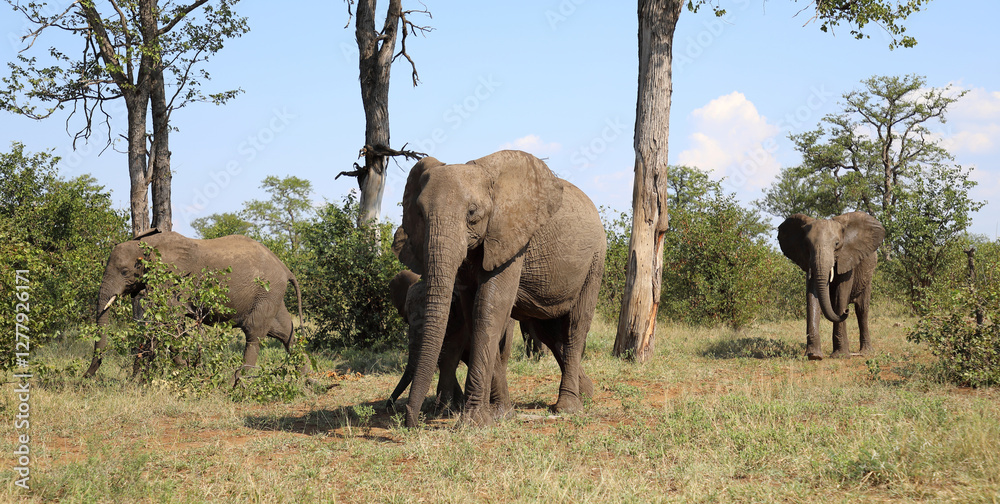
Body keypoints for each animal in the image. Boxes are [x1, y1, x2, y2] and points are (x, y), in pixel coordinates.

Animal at [83, 228, 303, 382]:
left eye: (124, 272)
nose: (85, 377)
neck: (148, 244)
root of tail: (285, 268)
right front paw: (139, 378)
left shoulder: (176, 281)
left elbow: (171, 321)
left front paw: (187, 371)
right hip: (271, 294)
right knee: (285, 332)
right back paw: (306, 380)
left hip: (266, 292)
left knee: (254, 334)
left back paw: (230, 384)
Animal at [396, 150, 606, 427]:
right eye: (419, 213)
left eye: (472, 212)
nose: (411, 421)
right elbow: (474, 312)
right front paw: (501, 414)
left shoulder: (512, 238)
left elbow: (490, 309)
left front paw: (474, 421)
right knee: (548, 332)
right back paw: (588, 392)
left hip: (595, 261)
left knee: (575, 327)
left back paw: (568, 407)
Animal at [777, 212, 885, 360]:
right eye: (807, 244)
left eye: (837, 244)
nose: (846, 311)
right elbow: (812, 297)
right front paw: (813, 356)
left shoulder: (847, 258)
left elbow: (841, 295)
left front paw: (840, 356)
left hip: (867, 278)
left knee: (862, 310)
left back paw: (866, 352)